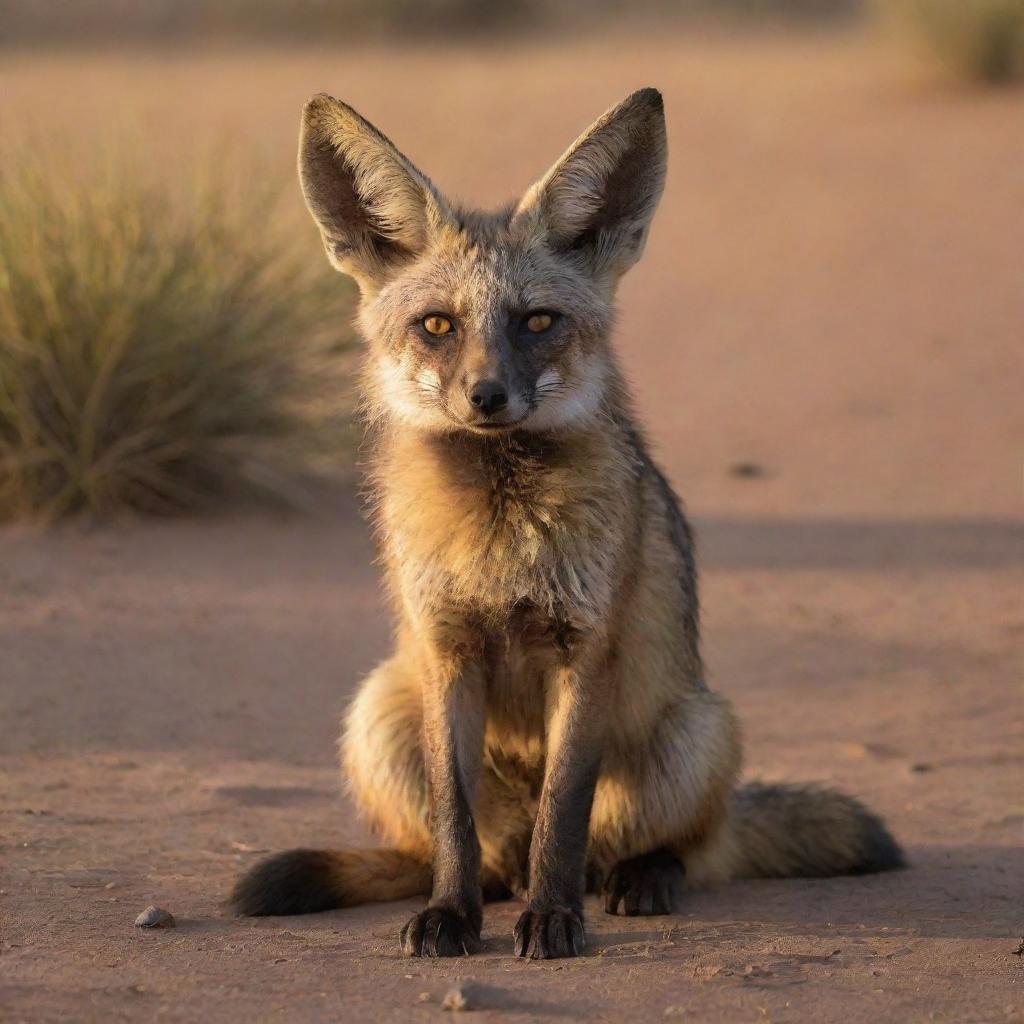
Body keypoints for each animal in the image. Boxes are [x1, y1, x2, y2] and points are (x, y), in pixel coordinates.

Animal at [232, 83, 905, 954]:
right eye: (438, 325)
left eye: (538, 321)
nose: (486, 397)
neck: (500, 534)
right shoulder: (448, 654)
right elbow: (453, 821)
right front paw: (449, 915)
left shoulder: (583, 651)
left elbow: (565, 810)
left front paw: (554, 921)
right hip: (379, 707)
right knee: (479, 856)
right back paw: (483, 888)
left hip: (695, 730)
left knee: (668, 847)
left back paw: (634, 880)